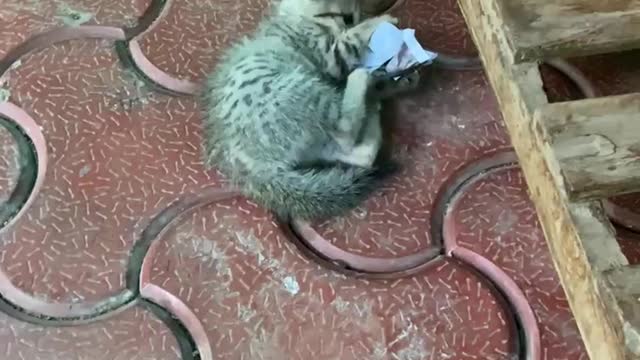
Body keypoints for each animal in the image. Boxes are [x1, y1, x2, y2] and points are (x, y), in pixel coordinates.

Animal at [202, 0, 418, 221]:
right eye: (347, 18)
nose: (349, 24)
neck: (295, 17)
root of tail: (248, 168)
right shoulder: (329, 54)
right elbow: (348, 44)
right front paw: (379, 21)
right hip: (299, 92)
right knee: (345, 130)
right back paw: (362, 81)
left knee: (361, 154)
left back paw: (372, 103)